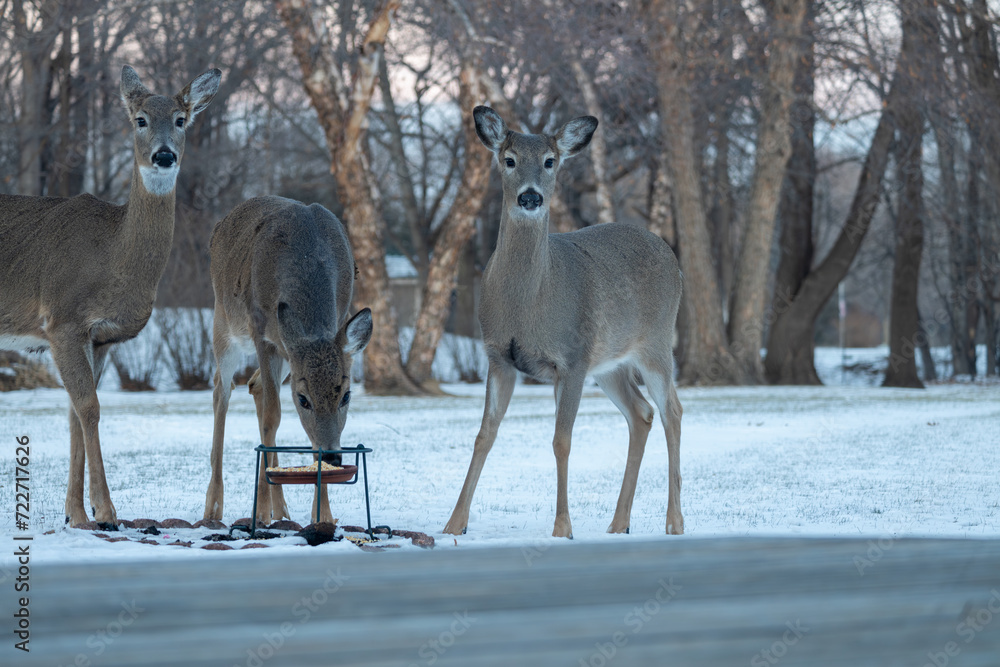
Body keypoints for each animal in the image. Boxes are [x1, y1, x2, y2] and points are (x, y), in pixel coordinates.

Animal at [0, 66, 220, 528]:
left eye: (181, 119)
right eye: (140, 119)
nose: (164, 156)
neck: (111, 255)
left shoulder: (99, 337)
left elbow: (73, 414)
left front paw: (75, 515)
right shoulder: (62, 320)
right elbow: (90, 408)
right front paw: (105, 510)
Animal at [203, 196, 372, 526]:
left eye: (346, 395)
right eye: (303, 399)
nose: (333, 457)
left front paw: (323, 515)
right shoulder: (261, 333)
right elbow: (272, 416)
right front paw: (259, 512)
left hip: (284, 356)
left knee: (254, 384)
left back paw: (281, 510)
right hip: (224, 321)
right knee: (221, 390)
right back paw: (214, 505)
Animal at [442, 107, 684, 539]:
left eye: (550, 161)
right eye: (509, 159)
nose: (530, 196)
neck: (529, 304)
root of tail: (671, 255)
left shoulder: (571, 359)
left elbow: (562, 440)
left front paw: (562, 528)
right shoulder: (499, 357)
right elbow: (484, 435)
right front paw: (454, 524)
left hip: (655, 344)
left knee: (672, 411)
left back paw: (674, 521)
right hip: (609, 364)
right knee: (642, 413)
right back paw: (618, 523)